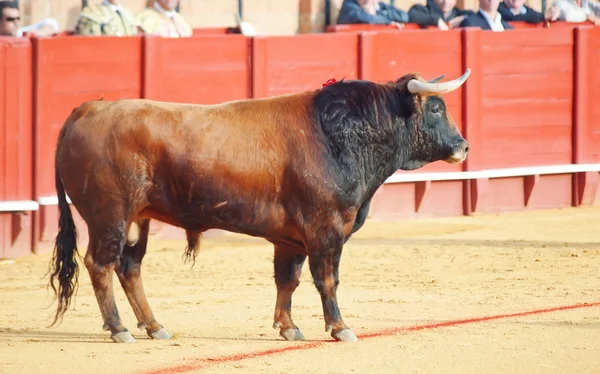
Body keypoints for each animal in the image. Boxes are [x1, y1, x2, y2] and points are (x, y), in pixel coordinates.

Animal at [48, 68, 468, 344]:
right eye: (435, 109)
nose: (463, 147)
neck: (338, 135)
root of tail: (87, 110)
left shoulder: (291, 239)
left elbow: (288, 279)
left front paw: (288, 327)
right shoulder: (326, 229)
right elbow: (326, 278)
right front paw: (340, 328)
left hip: (139, 219)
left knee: (129, 267)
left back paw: (154, 327)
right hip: (110, 215)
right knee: (100, 265)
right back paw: (119, 329)